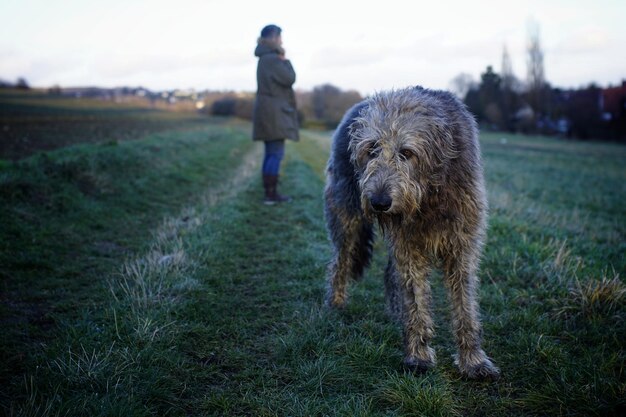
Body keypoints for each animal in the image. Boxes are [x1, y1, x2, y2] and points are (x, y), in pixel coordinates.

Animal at [324, 85, 500, 376]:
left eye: (406, 152)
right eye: (372, 149)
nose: (380, 202)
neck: (427, 195)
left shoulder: (463, 243)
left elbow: (465, 303)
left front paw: (473, 360)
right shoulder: (409, 245)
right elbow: (416, 296)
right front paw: (418, 355)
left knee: (389, 273)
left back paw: (396, 312)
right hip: (345, 213)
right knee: (341, 259)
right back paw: (335, 303)